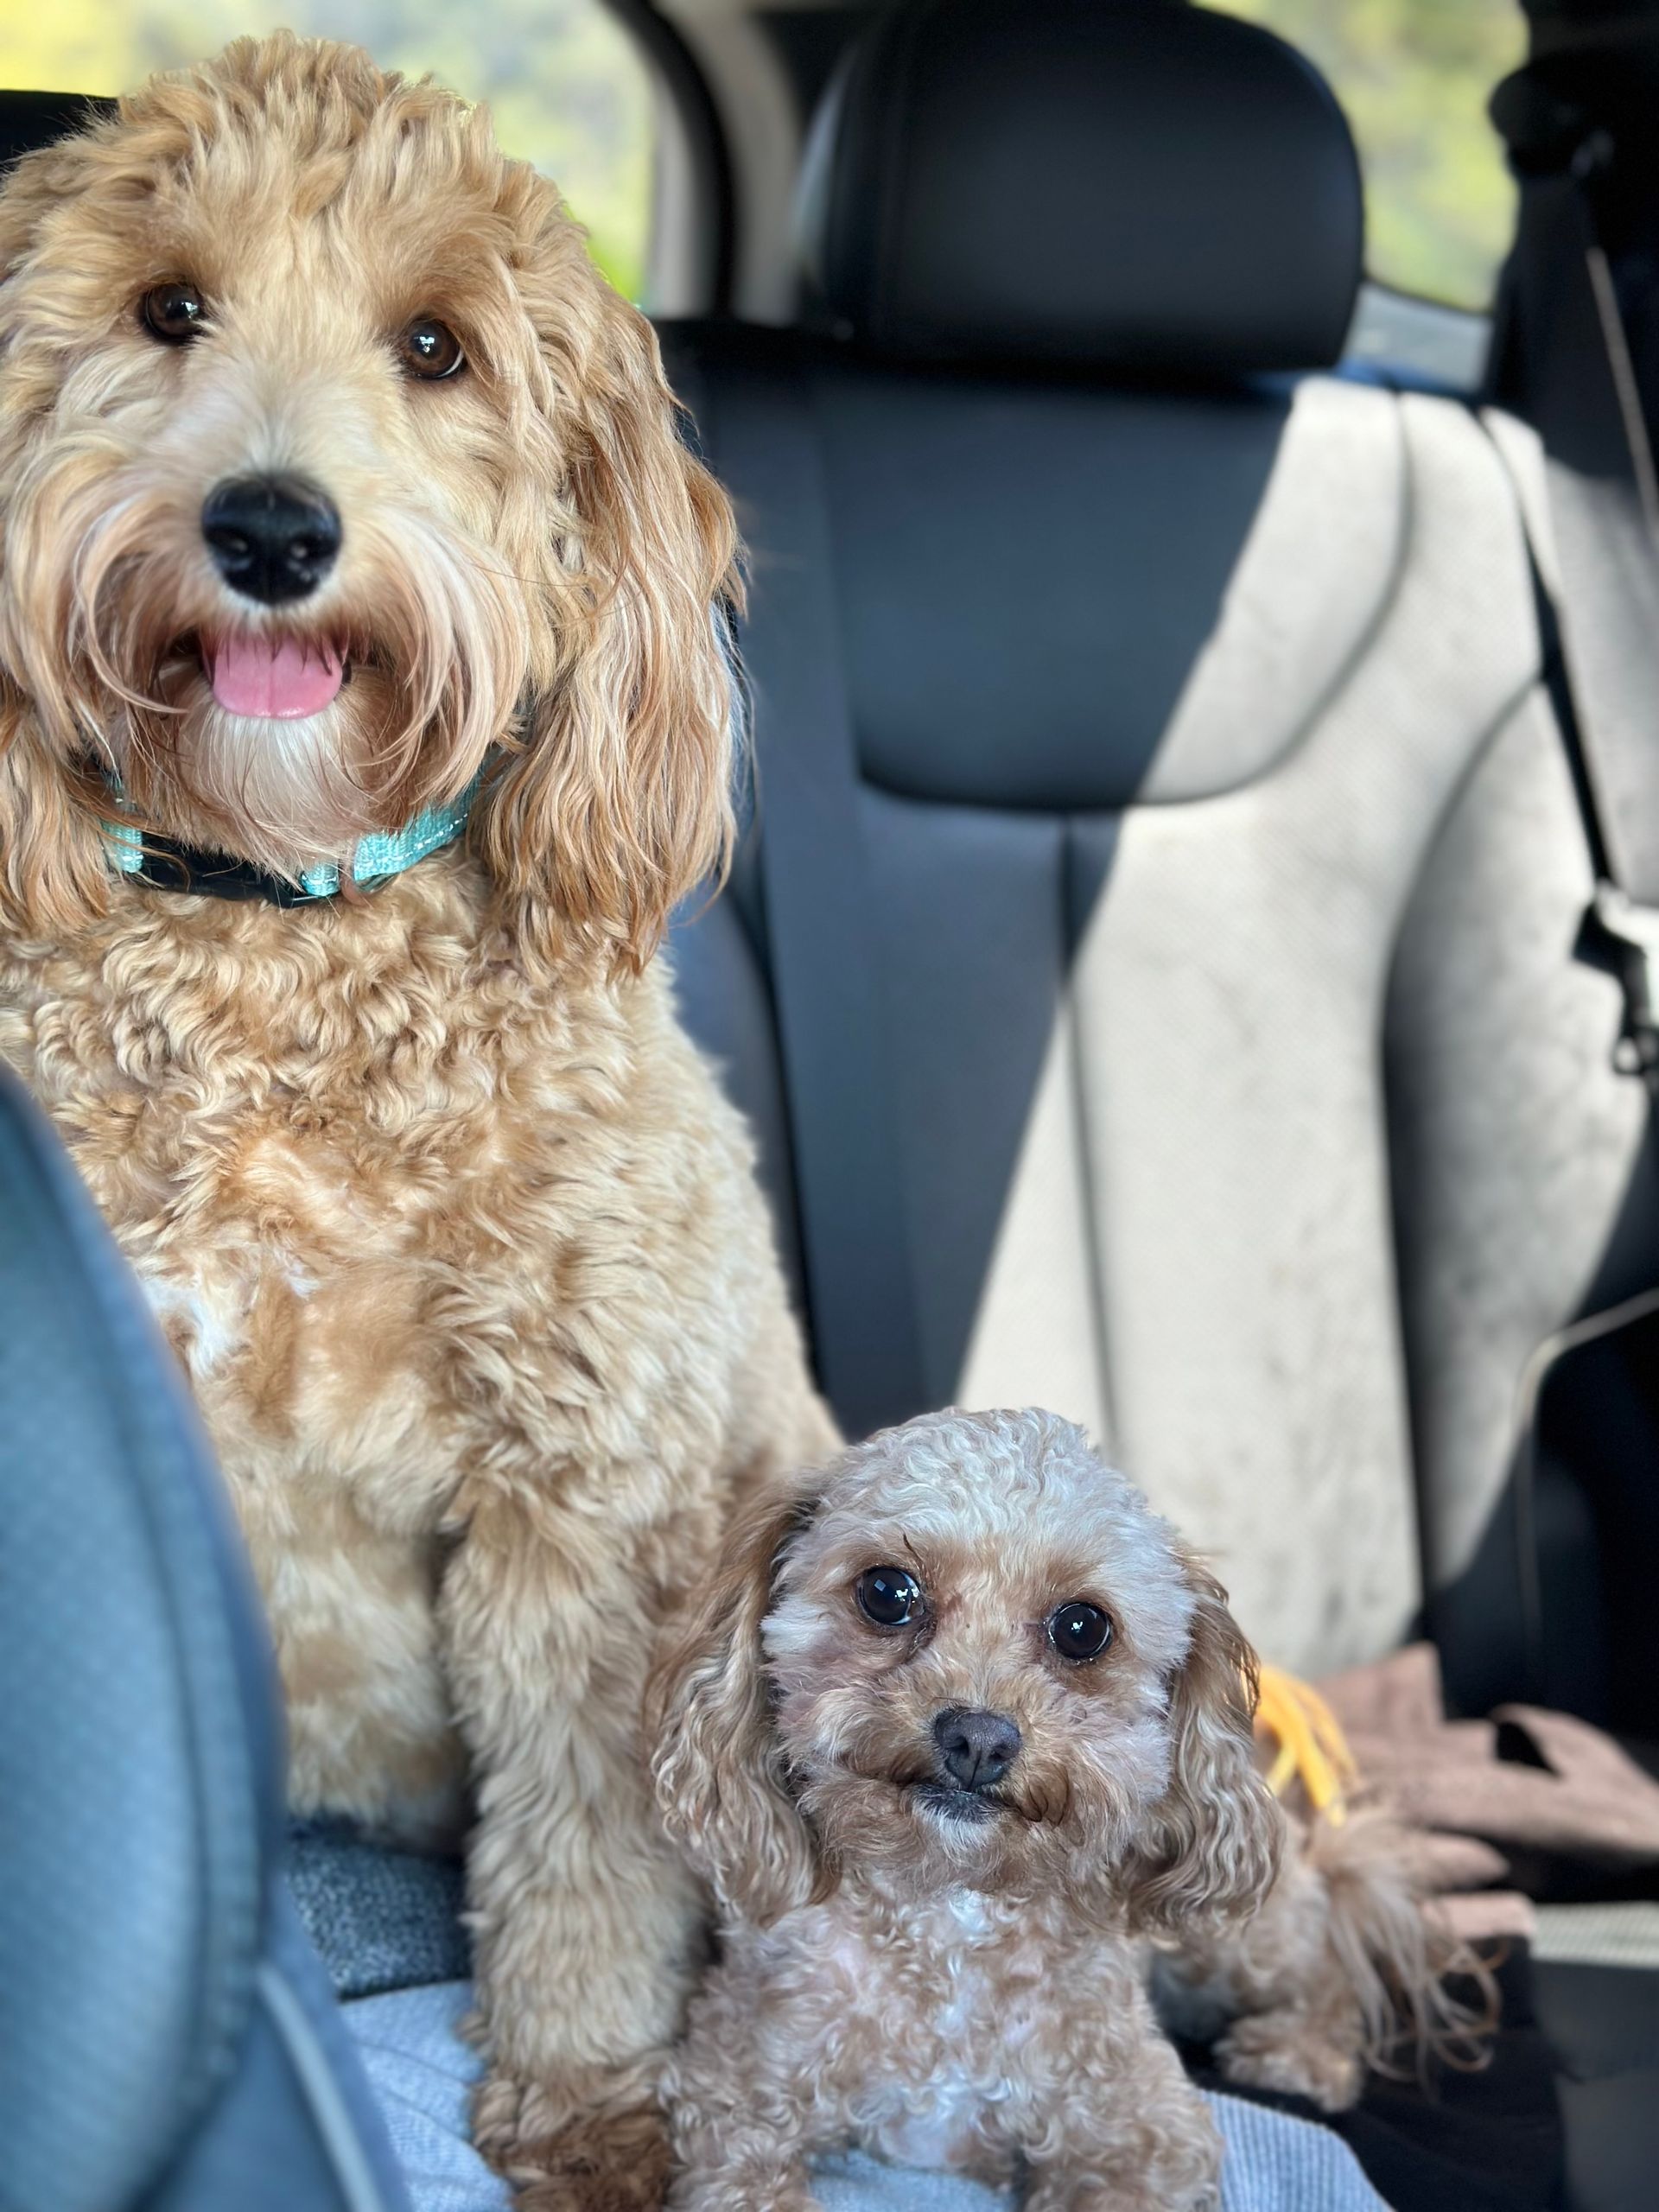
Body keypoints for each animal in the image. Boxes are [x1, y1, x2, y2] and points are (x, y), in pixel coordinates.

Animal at [0, 39, 831, 2212]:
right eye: (167, 308)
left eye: (438, 346)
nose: (274, 525)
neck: (283, 939)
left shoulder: (583, 1493)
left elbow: (589, 1855)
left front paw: (594, 2106)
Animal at [645, 1415, 1478, 2212]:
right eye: (886, 1592)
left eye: (1083, 1628)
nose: (978, 1738)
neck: (950, 1914)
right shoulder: (729, 2092)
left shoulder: (1148, 2132)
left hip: (1226, 1942)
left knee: (1335, 1966)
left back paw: (1300, 2054)